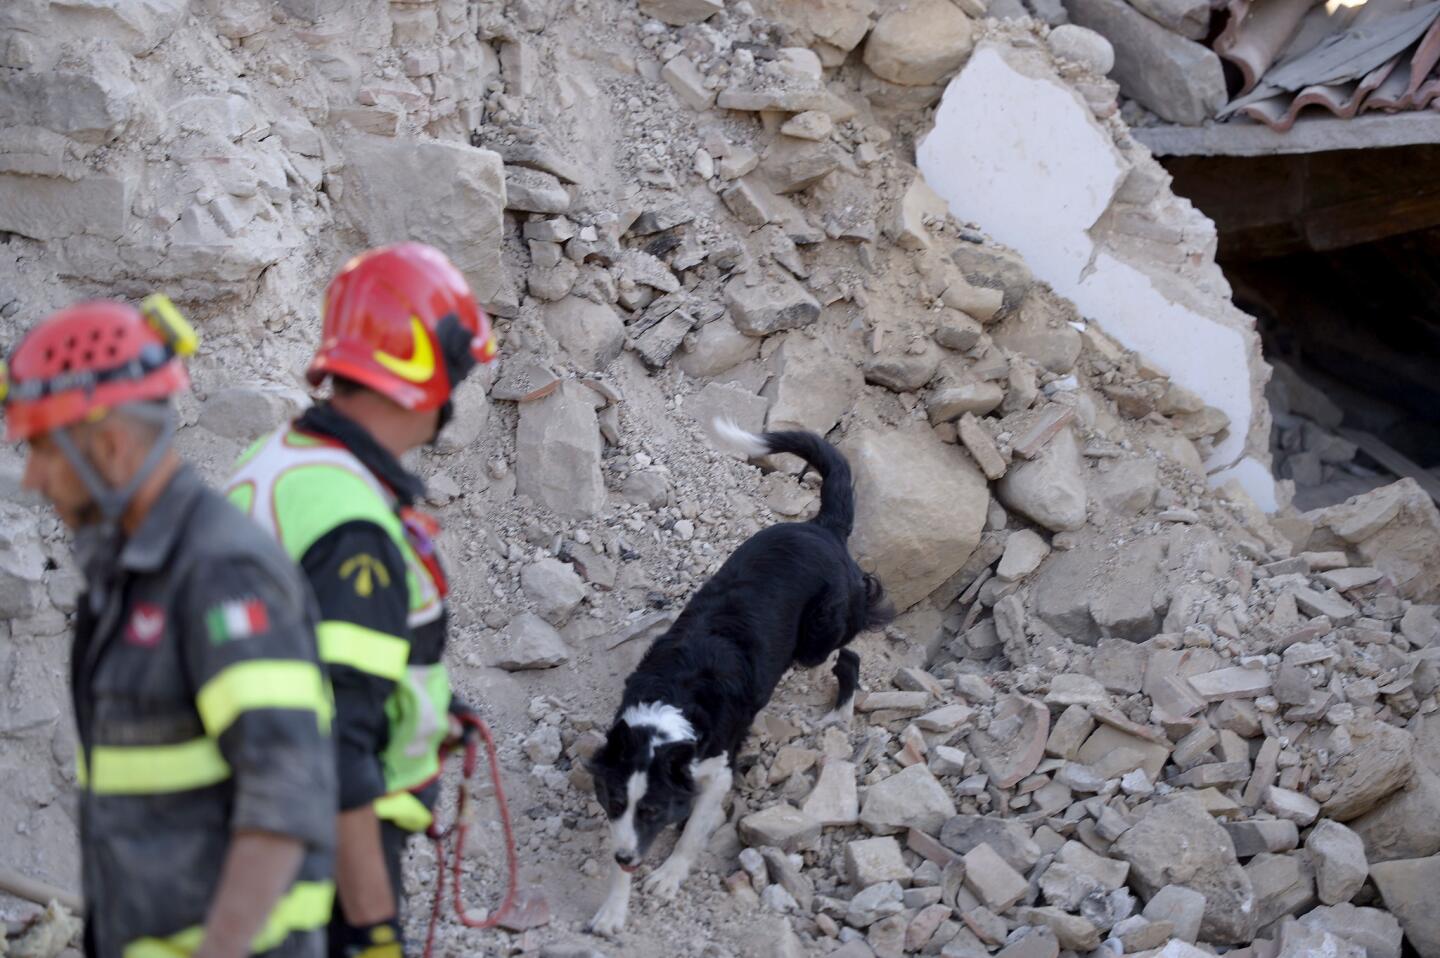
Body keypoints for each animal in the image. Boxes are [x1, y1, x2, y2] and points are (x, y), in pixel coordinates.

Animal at [584, 423, 887, 933]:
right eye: (614, 803)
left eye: (654, 810)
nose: (626, 858)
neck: (673, 706)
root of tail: (821, 528)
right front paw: (612, 908)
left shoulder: (717, 773)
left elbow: (690, 834)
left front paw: (667, 877)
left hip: (815, 642)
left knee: (848, 656)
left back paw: (839, 715)